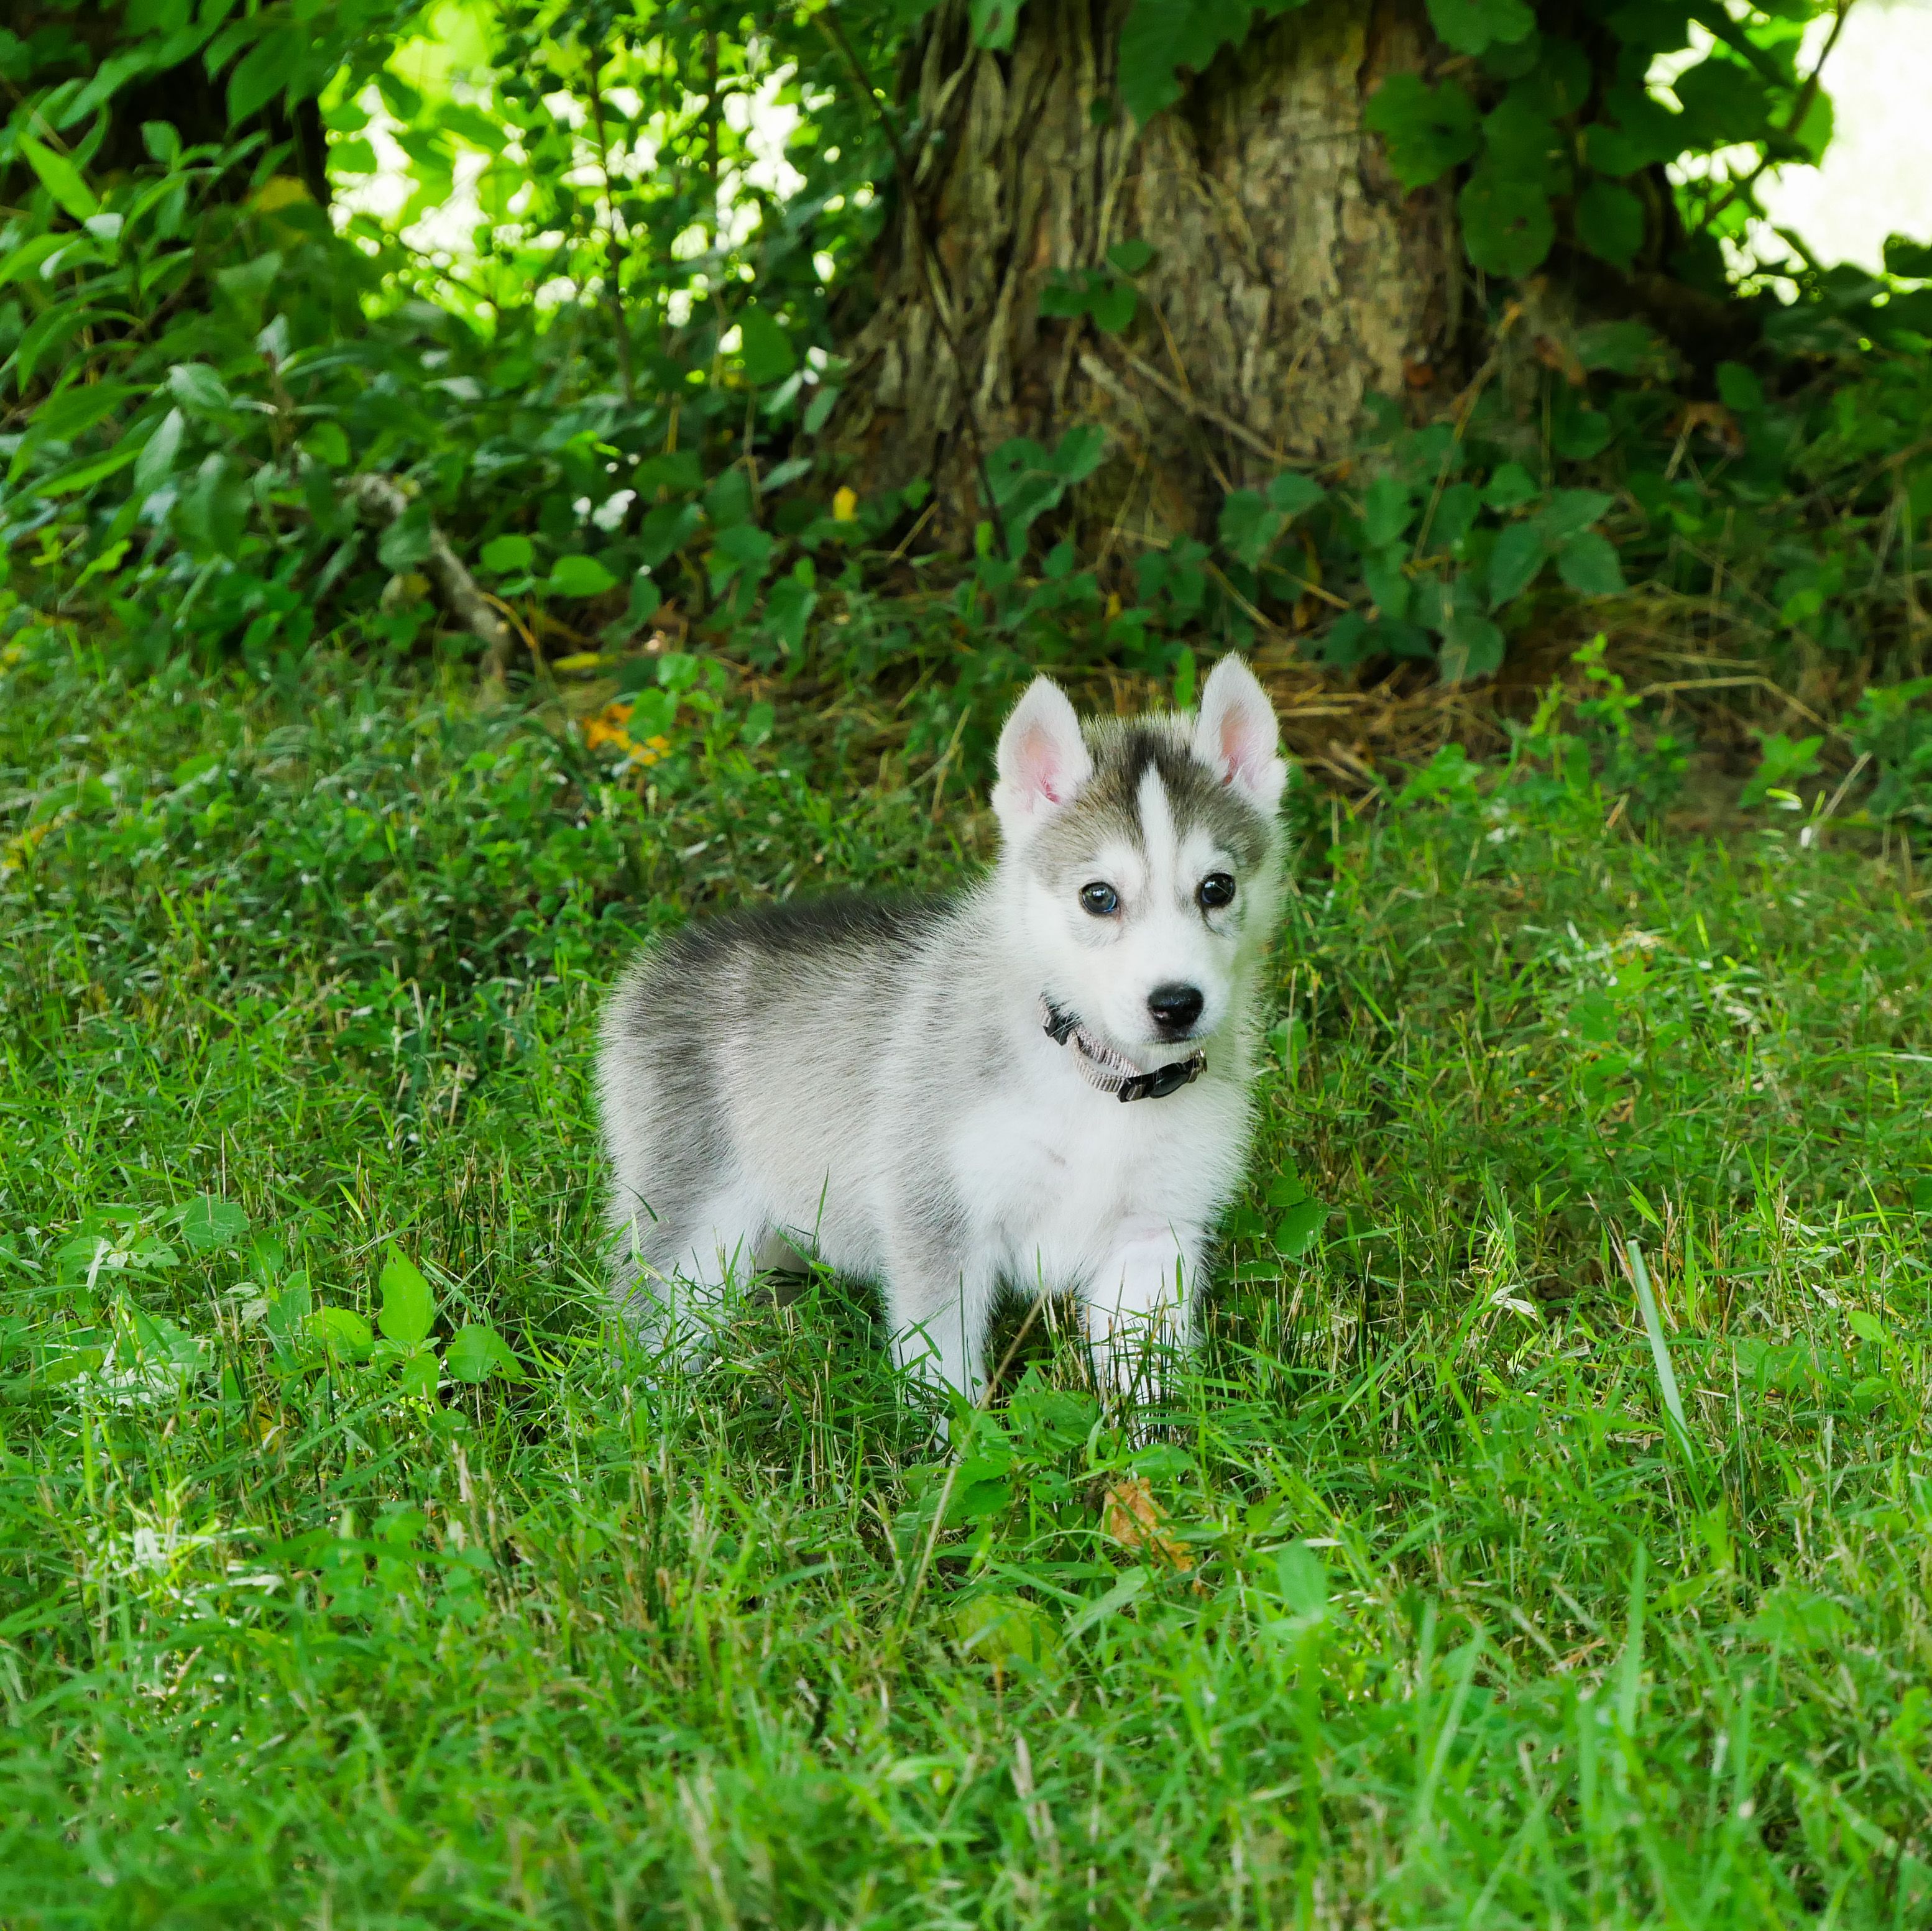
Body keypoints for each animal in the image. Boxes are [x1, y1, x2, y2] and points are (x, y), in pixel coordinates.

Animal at [597, 654, 1287, 1405]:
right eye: (1098, 897)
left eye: (1217, 888)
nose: (1176, 1003)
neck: (1100, 1081)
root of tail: (665, 959)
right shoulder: (936, 1214)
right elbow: (943, 1367)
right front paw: (954, 1433)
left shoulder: (1156, 1233)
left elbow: (1145, 1377)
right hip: (691, 1225)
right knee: (648, 1324)